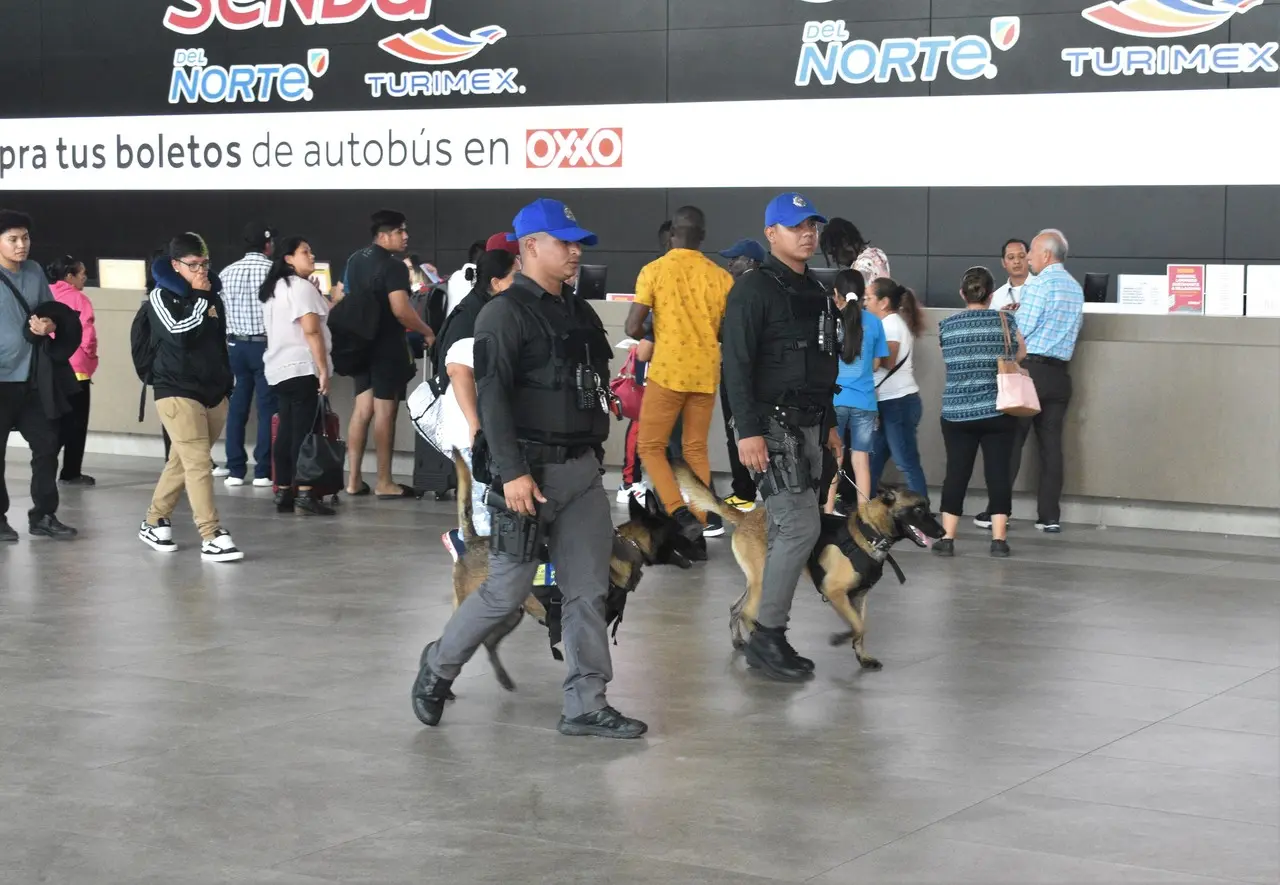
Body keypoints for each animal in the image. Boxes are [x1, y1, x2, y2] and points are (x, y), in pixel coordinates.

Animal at [448, 455, 680, 691]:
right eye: (676, 529)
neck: (630, 545)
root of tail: (473, 541)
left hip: (510, 615)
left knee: (486, 642)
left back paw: (502, 678)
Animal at [675, 463, 947, 671]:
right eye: (918, 509)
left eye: (928, 508)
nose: (943, 532)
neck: (868, 533)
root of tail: (746, 517)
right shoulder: (835, 592)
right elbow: (858, 625)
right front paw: (841, 637)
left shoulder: (859, 597)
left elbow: (861, 628)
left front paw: (862, 656)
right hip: (763, 580)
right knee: (747, 613)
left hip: (758, 580)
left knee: (736, 608)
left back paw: (741, 642)